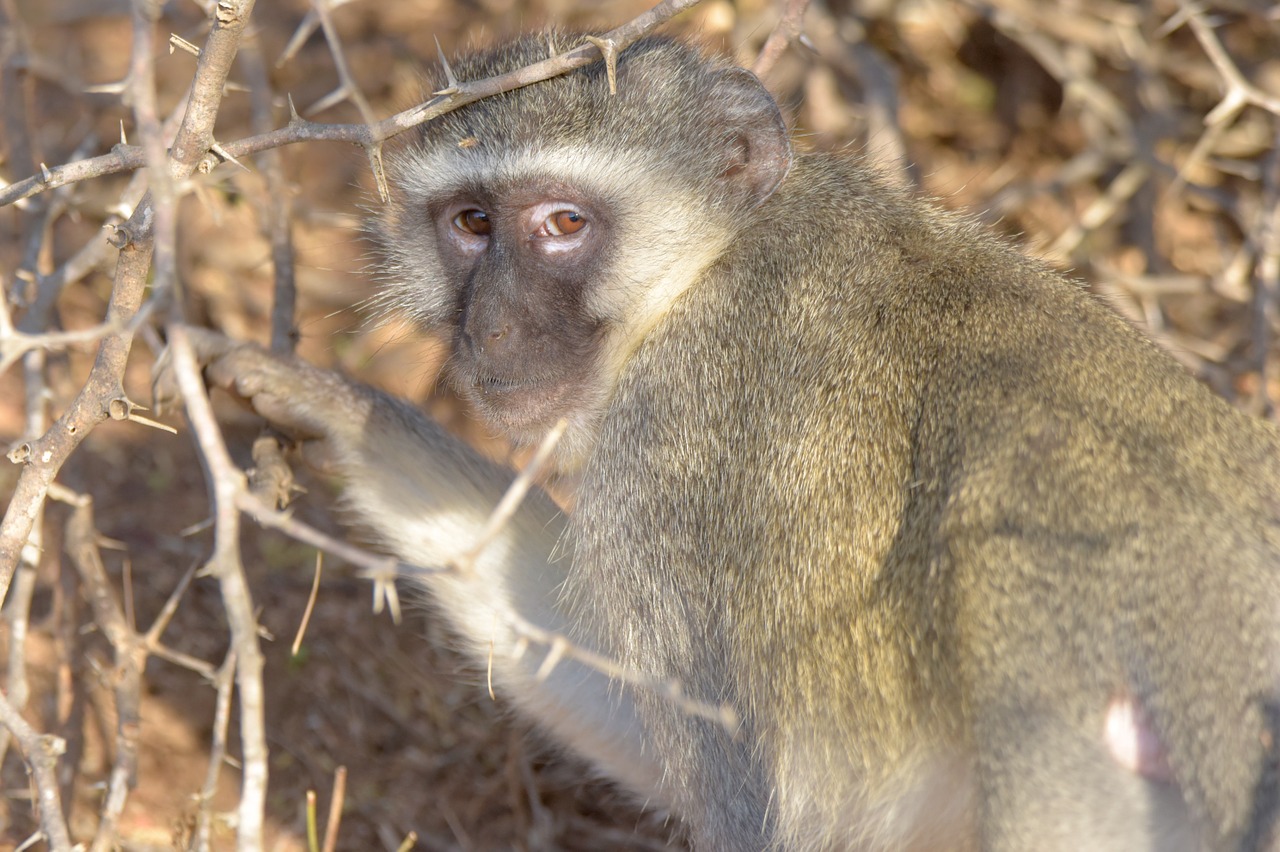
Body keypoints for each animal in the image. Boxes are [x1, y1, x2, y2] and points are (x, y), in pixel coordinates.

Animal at [172, 34, 1280, 849]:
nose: (491, 329)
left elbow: (747, 797)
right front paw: (334, 409)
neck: (703, 268)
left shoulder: (674, 453)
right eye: (473, 222)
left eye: (564, 223)